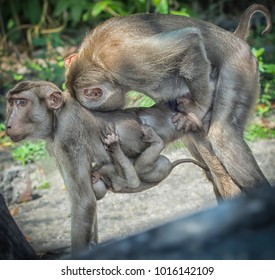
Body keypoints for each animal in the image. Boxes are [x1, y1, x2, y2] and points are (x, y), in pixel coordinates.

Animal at [65, 3, 272, 192]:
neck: (95, 61)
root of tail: (235, 38)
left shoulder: (125, 62)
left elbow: (190, 41)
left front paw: (197, 107)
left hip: (239, 67)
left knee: (223, 138)